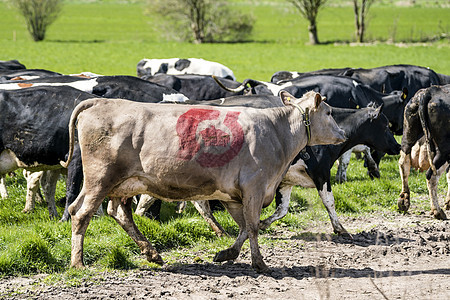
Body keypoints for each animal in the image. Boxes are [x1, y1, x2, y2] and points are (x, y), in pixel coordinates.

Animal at [398, 83, 450, 219]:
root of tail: (430, 91)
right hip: (444, 149)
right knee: (432, 175)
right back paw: (437, 211)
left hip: (408, 134)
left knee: (403, 163)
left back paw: (404, 200)